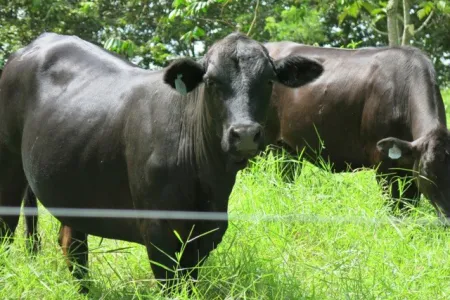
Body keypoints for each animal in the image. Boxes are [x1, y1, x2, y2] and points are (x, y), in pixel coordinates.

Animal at [0, 33, 324, 292]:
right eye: (211, 82)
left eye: (269, 81)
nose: (244, 133)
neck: (206, 180)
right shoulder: (158, 232)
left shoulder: (207, 233)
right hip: (9, 164)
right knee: (7, 227)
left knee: (73, 242)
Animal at [266, 40, 450, 218]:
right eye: (427, 172)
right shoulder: (382, 163)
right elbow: (394, 206)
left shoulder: (409, 166)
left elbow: (409, 206)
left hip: (289, 150)